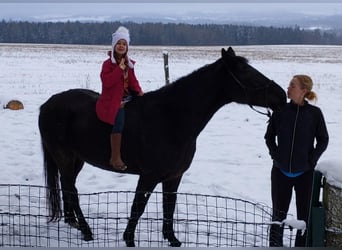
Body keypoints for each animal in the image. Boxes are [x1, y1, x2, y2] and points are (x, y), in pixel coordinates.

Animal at [38, 47, 288, 246]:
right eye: (245, 72)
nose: (281, 94)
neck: (171, 117)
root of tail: (47, 105)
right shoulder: (148, 176)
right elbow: (138, 207)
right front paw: (129, 239)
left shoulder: (173, 176)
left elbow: (170, 206)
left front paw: (172, 238)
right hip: (64, 157)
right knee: (71, 189)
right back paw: (86, 230)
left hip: (76, 159)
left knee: (69, 188)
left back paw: (75, 225)